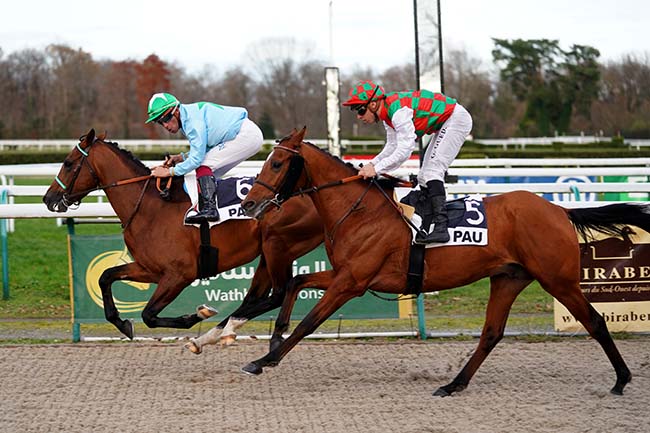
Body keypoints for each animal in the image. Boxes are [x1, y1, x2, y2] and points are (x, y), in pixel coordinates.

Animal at [42, 129, 322, 352]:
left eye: (68, 163)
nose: (48, 198)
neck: (149, 207)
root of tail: (309, 190)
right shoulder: (150, 269)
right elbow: (106, 276)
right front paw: (122, 323)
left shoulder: (180, 274)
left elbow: (149, 314)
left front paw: (196, 315)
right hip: (268, 251)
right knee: (256, 297)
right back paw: (221, 333)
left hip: (278, 247)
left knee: (278, 293)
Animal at [239, 127, 648, 394]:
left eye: (277, 163)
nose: (248, 204)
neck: (359, 211)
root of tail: (560, 210)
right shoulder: (348, 275)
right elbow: (295, 283)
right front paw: (273, 336)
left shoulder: (351, 282)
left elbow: (310, 322)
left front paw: (262, 360)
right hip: (509, 278)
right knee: (491, 333)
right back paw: (454, 384)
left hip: (557, 279)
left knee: (594, 321)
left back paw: (621, 380)